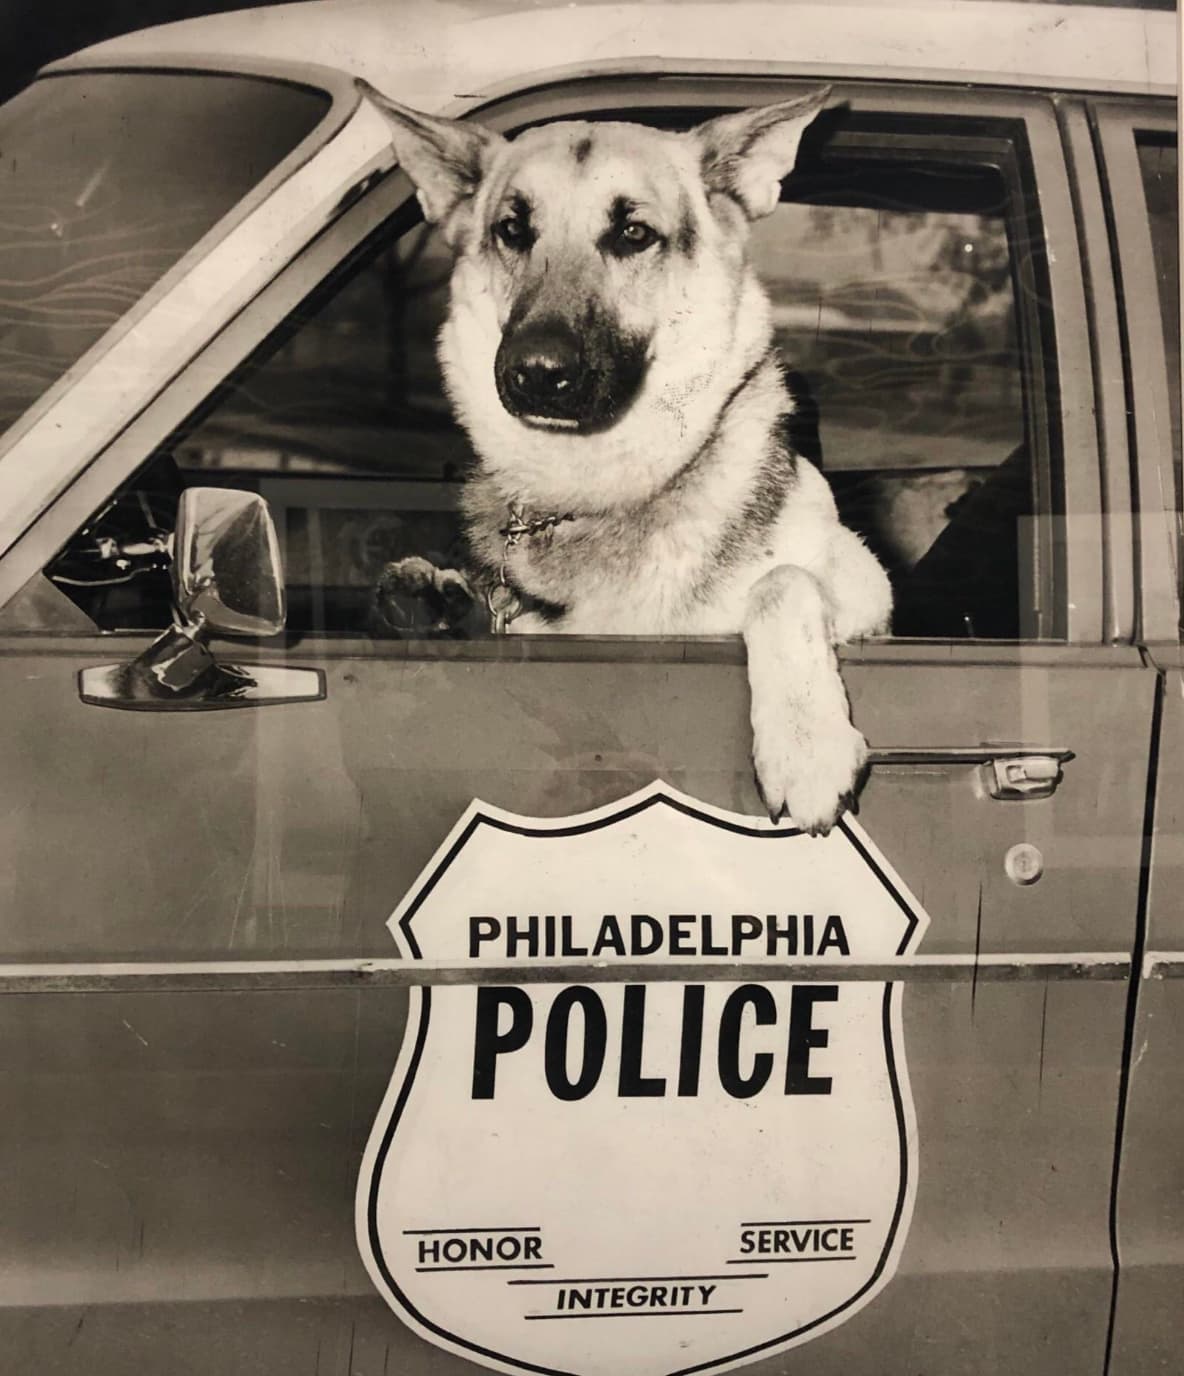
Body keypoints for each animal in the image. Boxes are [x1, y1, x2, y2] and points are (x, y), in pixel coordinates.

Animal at [360, 86, 886, 836]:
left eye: (633, 234)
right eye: (513, 230)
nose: (535, 372)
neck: (604, 492)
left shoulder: (870, 594)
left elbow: (783, 582)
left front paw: (806, 743)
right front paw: (429, 592)